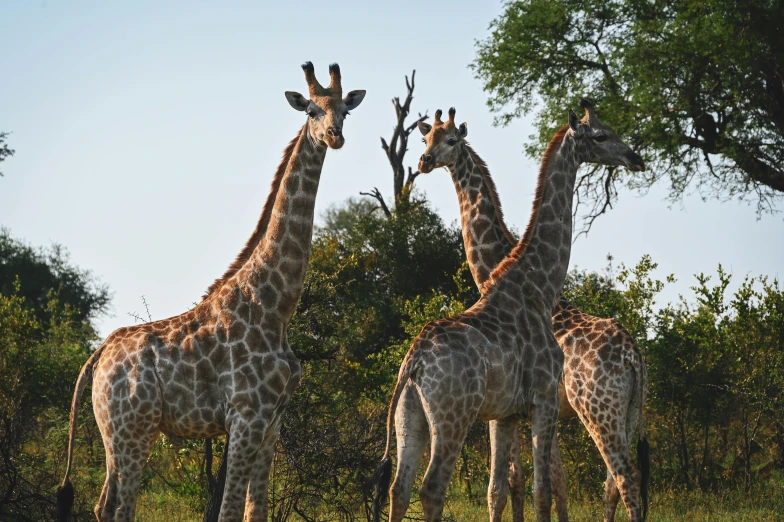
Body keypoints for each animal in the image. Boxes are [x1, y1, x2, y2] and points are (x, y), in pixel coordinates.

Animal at [55, 62, 368, 520]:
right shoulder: (245, 416)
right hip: (134, 429)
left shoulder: (274, 422)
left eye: (345, 109)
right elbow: (229, 509)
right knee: (120, 507)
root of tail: (98, 356)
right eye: (311, 110)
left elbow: (256, 509)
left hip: (114, 433)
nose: (335, 136)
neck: (276, 306)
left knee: (103, 505)